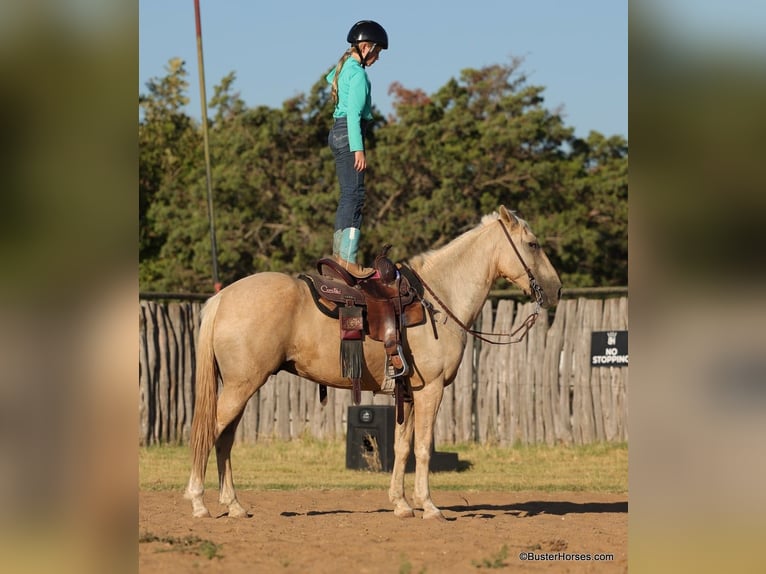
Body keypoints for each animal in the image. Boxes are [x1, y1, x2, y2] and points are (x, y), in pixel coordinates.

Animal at [186, 207, 564, 520]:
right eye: (532, 244)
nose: (556, 289)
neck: (439, 298)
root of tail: (223, 297)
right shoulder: (432, 391)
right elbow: (423, 448)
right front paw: (429, 506)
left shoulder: (408, 392)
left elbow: (402, 446)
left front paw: (401, 504)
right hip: (241, 387)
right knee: (210, 432)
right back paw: (198, 502)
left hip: (240, 388)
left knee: (224, 439)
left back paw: (234, 505)